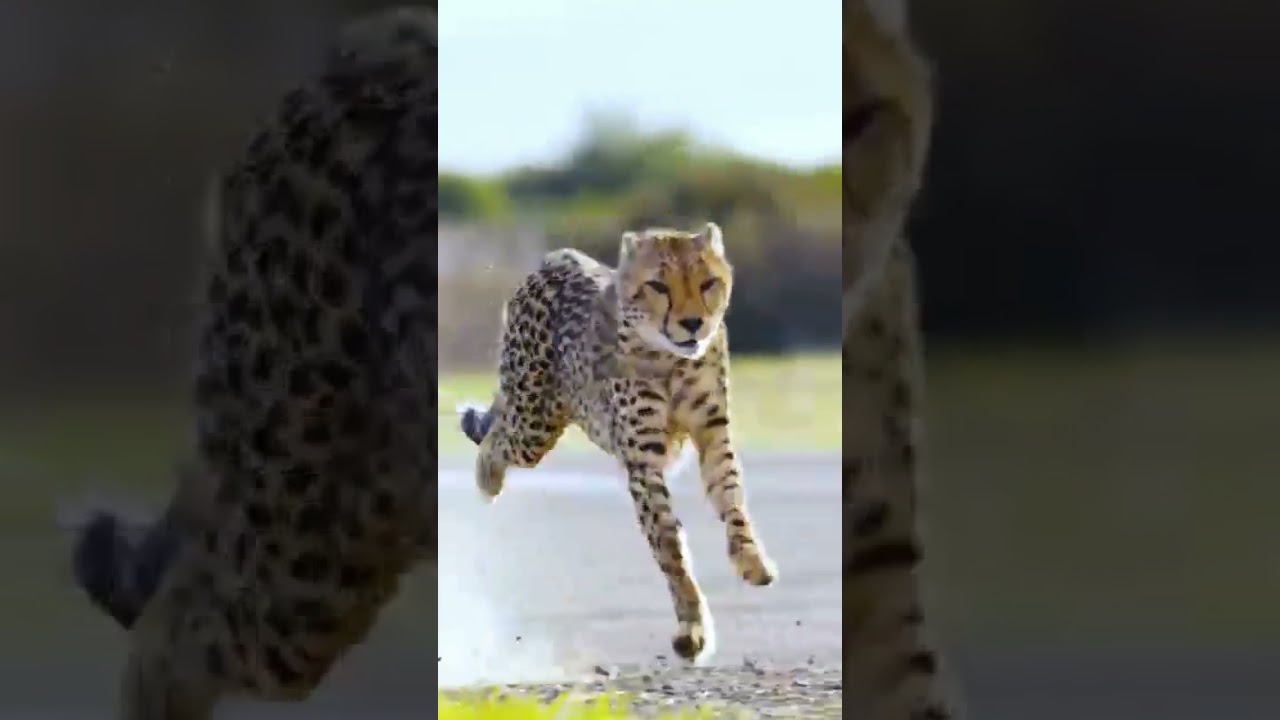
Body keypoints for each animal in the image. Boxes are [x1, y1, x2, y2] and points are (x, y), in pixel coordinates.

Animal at [458, 222, 777, 664]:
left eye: (708, 282)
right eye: (658, 285)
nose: (693, 323)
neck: (671, 359)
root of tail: (558, 256)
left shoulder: (712, 434)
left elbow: (731, 497)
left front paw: (751, 559)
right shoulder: (643, 460)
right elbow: (668, 544)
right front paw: (691, 629)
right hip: (534, 421)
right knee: (497, 436)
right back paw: (487, 479)